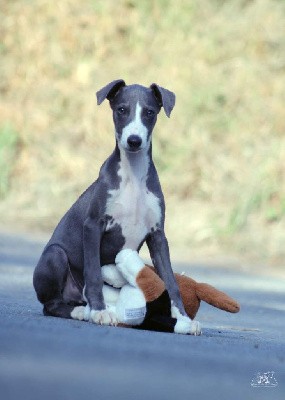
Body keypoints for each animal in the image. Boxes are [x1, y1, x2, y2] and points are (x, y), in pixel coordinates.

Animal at [33, 79, 191, 326]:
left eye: (149, 113)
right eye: (122, 110)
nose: (134, 141)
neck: (133, 177)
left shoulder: (157, 235)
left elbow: (171, 280)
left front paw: (183, 318)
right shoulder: (93, 226)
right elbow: (94, 274)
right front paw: (99, 311)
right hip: (55, 255)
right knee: (51, 305)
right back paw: (82, 311)